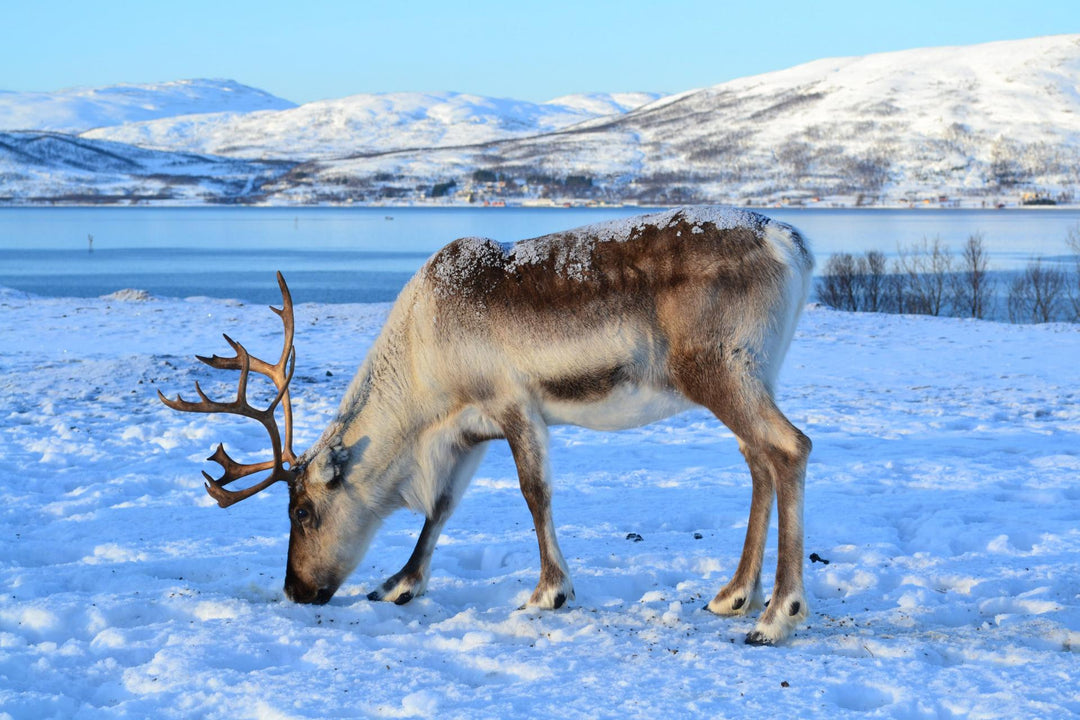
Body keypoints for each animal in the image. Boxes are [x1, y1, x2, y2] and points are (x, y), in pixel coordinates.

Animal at [159, 206, 814, 645]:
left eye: (301, 511)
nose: (295, 590)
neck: (421, 366)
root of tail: (788, 240)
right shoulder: (467, 431)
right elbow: (440, 508)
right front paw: (399, 583)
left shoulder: (514, 405)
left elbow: (534, 493)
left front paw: (549, 591)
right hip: (753, 375)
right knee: (758, 461)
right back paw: (733, 595)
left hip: (720, 371)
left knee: (790, 447)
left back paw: (776, 614)